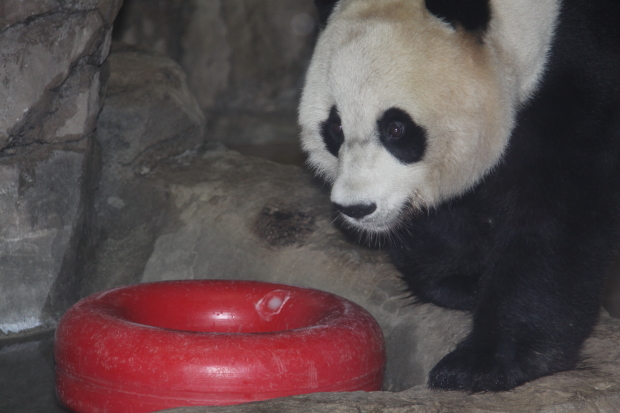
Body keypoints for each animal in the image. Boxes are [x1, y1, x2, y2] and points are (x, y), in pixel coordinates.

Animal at [300, 0, 620, 392]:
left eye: (396, 128)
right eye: (335, 128)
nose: (357, 208)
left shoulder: (584, 79)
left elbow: (558, 220)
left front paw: (482, 364)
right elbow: (443, 215)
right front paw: (462, 282)